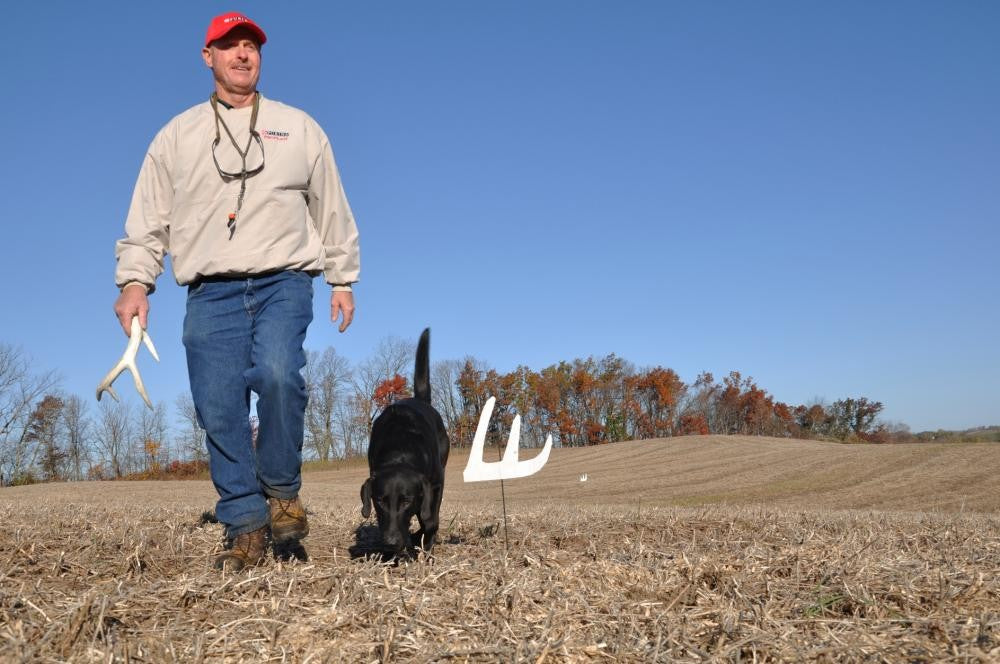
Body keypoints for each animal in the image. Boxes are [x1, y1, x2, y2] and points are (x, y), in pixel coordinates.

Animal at [360, 330, 450, 552]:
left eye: (406, 501)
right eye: (380, 501)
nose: (391, 541)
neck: (399, 452)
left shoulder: (436, 484)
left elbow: (431, 520)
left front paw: (424, 543)